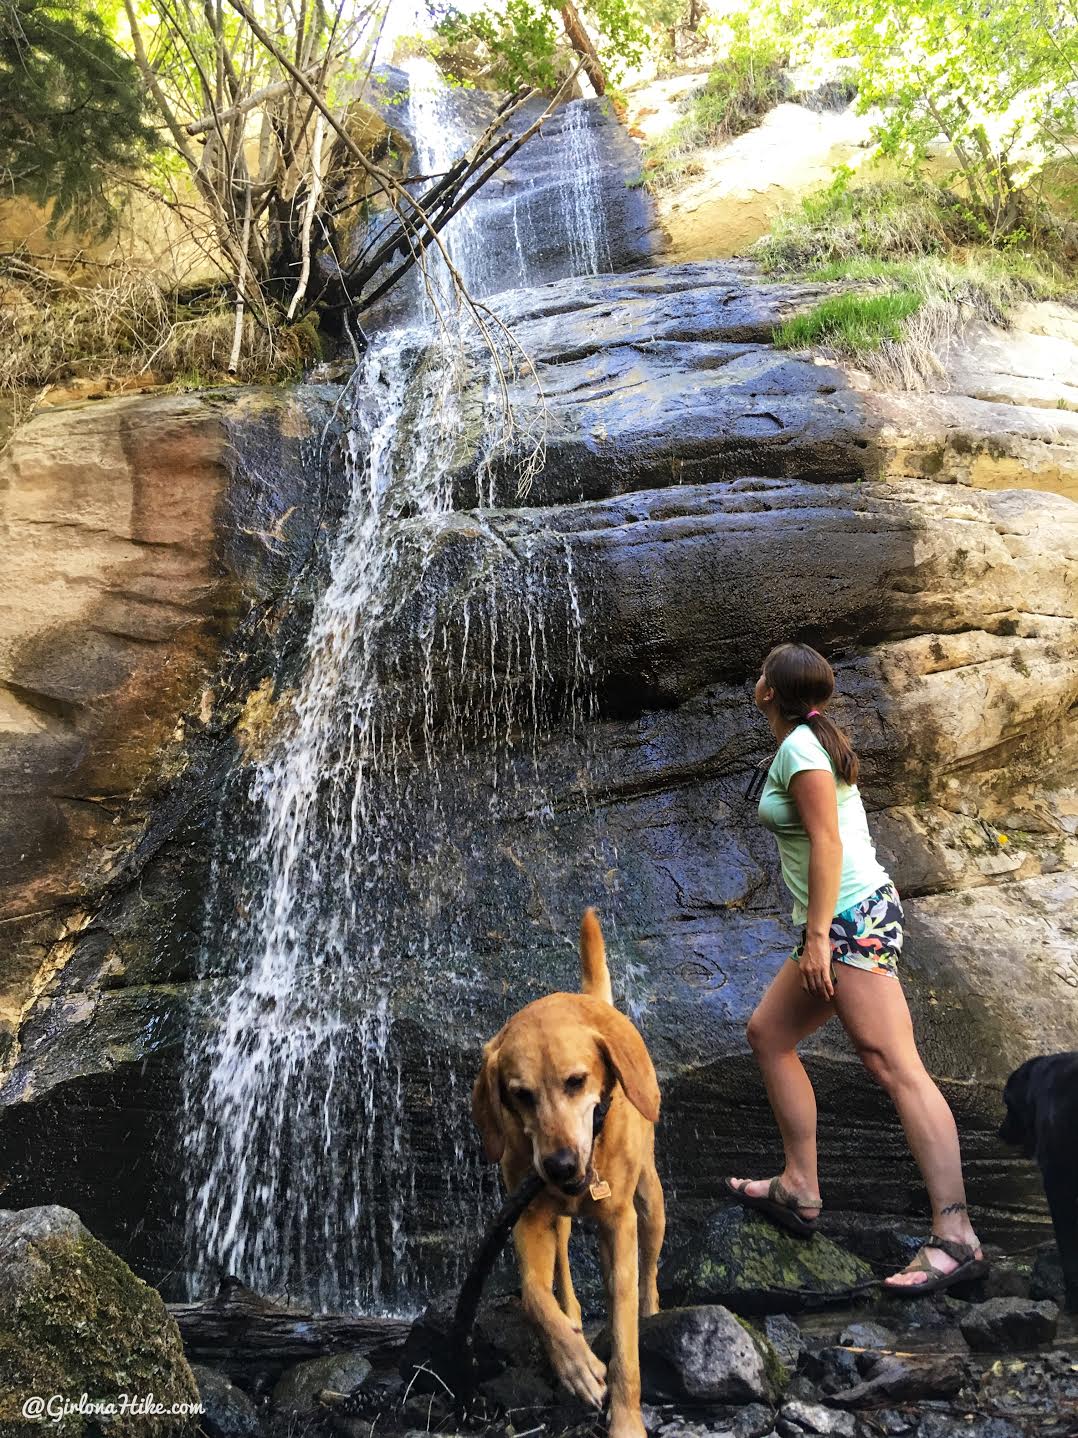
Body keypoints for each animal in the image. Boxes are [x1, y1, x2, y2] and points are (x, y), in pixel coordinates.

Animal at [474, 908, 666, 1438]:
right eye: (520, 1095)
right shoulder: (528, 1219)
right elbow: (533, 1296)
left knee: (649, 1270)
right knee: (561, 1265)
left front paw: (626, 1420)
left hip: (652, 1204)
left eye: (576, 1081)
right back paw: (575, 1320)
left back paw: (654, 1313)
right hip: (556, 1220)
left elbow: (624, 1335)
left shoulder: (620, 1226)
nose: (560, 1165)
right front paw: (575, 1363)